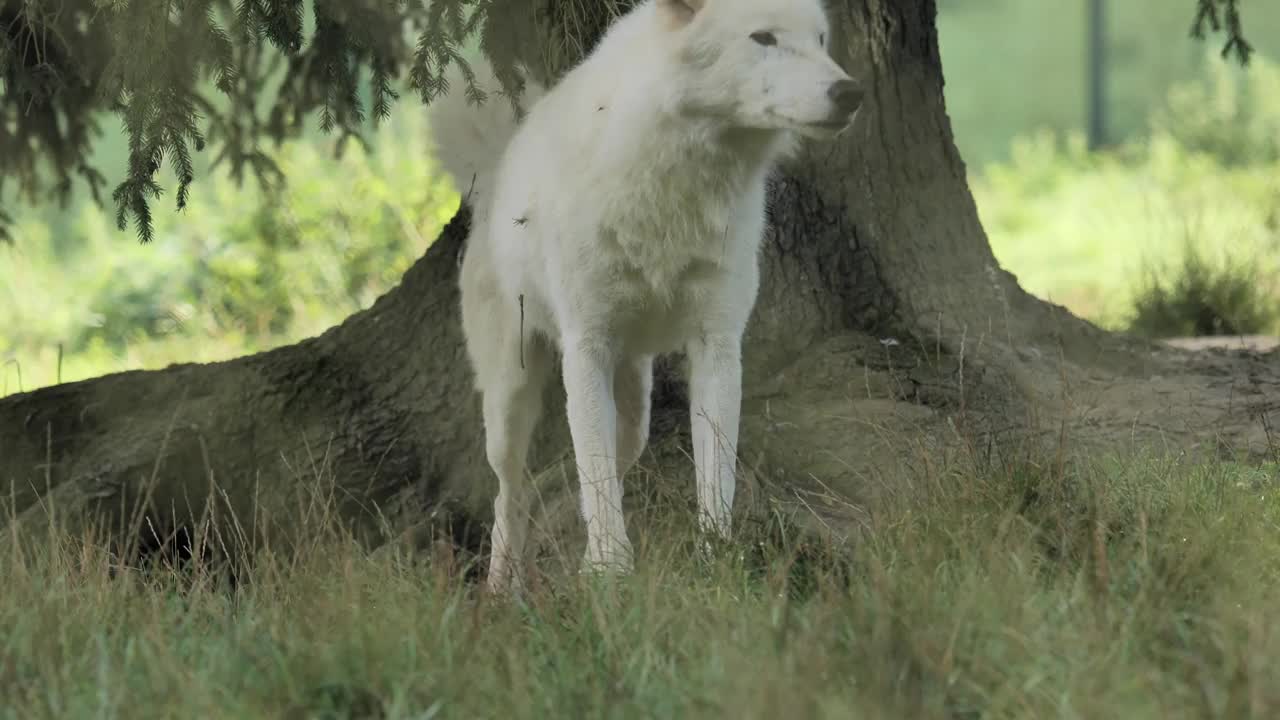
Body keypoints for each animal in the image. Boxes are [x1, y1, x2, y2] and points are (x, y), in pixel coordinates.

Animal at [427, 0, 860, 589]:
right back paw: (502, 590)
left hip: (634, 415)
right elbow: (592, 476)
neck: (680, 178)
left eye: (819, 40)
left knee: (575, 480)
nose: (849, 92)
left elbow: (713, 475)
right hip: (511, 397)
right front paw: (611, 573)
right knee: (510, 494)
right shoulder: (585, 346)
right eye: (763, 38)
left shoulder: (718, 344)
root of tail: (495, 177)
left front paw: (714, 563)